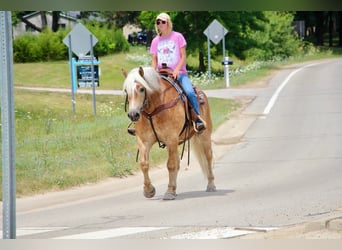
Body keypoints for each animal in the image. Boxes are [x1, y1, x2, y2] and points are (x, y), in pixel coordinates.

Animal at [121, 66, 215, 199]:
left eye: (142, 89)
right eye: (126, 90)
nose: (133, 114)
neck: (154, 110)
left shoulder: (171, 139)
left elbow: (170, 165)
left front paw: (169, 192)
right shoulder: (144, 141)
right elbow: (144, 164)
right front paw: (149, 190)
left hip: (204, 137)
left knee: (208, 158)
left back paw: (211, 185)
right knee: (178, 163)